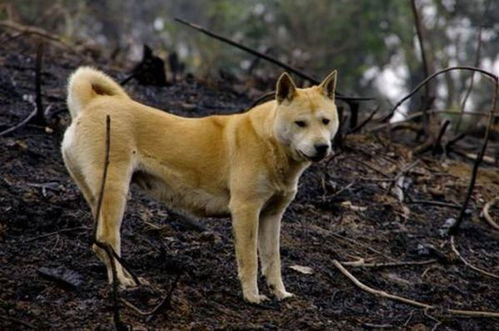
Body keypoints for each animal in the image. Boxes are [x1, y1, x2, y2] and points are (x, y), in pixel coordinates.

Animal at [60, 67, 338, 304]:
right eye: (300, 123)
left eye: (326, 121)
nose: (322, 147)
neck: (269, 141)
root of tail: (91, 103)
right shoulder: (246, 210)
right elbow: (250, 259)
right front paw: (252, 296)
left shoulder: (272, 216)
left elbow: (273, 260)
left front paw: (279, 293)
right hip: (115, 193)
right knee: (108, 239)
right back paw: (122, 281)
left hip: (96, 196)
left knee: (97, 242)